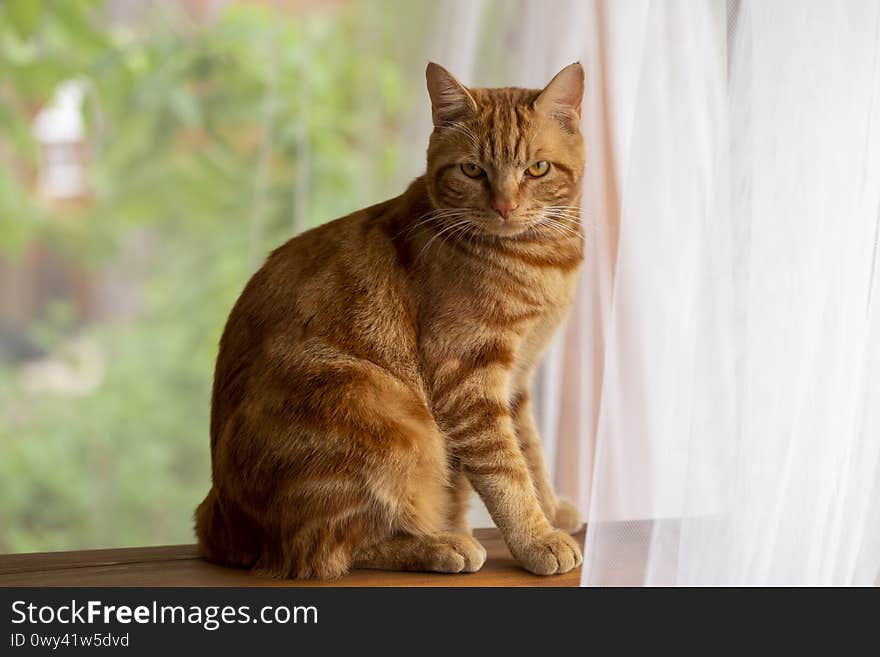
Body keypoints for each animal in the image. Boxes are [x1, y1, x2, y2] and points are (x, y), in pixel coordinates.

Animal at [196, 60, 588, 576]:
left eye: (537, 168)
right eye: (472, 169)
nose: (505, 206)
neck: (539, 259)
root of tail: (220, 521)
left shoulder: (516, 382)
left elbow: (531, 455)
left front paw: (552, 512)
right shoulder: (468, 383)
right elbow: (507, 472)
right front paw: (536, 537)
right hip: (378, 409)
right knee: (326, 551)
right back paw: (439, 544)